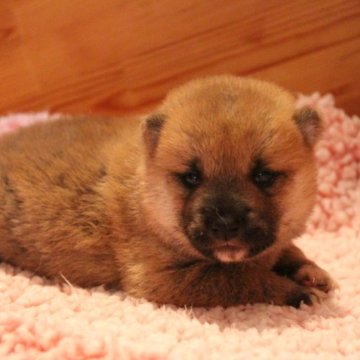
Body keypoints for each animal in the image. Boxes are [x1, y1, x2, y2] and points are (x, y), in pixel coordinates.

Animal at [0, 75, 334, 306]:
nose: (225, 223)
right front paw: (297, 293)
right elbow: (244, 278)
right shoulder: (161, 278)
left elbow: (289, 251)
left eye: (263, 175)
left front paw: (311, 271)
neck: (147, 199)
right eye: (191, 177)